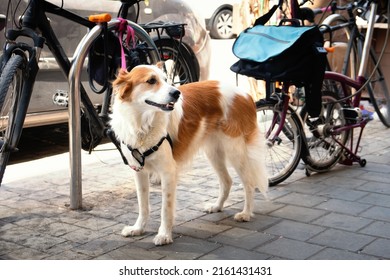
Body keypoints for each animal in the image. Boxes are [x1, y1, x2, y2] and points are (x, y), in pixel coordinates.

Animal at [109, 63, 268, 245]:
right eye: (151, 81)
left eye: (165, 79)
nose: (176, 93)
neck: (142, 124)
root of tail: (245, 94)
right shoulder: (139, 171)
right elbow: (143, 205)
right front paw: (138, 228)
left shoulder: (167, 172)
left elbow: (165, 209)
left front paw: (164, 235)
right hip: (214, 153)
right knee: (227, 181)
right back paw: (217, 206)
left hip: (235, 151)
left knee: (249, 182)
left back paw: (246, 213)